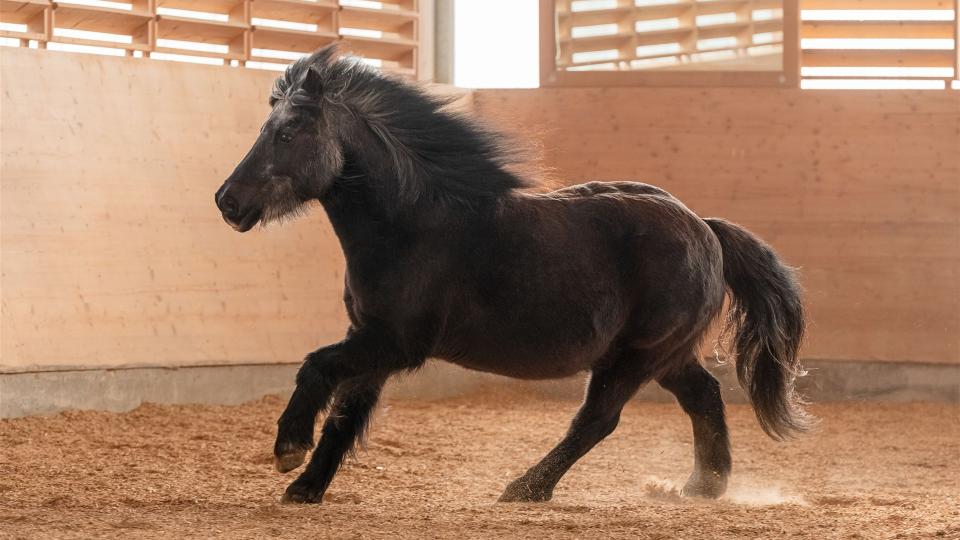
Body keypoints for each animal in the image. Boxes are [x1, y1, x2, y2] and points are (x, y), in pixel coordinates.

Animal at [214, 46, 812, 504]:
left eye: (288, 132)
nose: (227, 201)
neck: (410, 226)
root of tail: (705, 228)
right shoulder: (371, 340)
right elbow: (344, 414)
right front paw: (306, 487)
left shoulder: (395, 341)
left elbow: (316, 368)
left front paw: (288, 450)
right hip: (667, 355)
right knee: (703, 397)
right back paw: (702, 486)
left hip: (635, 356)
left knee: (598, 420)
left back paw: (526, 488)